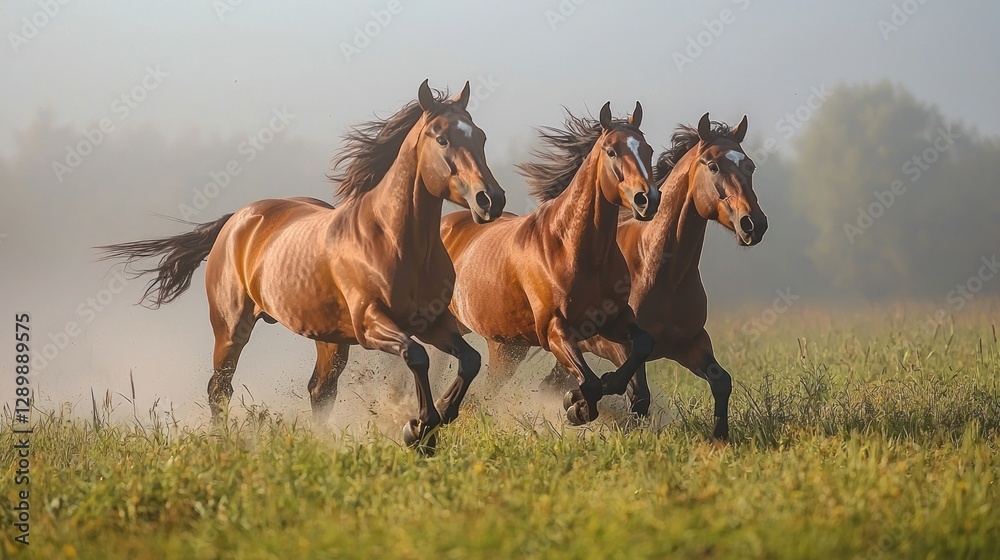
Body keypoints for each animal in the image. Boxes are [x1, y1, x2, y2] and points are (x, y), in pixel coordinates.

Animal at [97, 80, 506, 450]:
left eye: (482, 137)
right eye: (442, 139)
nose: (491, 200)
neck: (396, 242)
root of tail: (237, 219)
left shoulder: (434, 322)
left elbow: (469, 360)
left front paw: (432, 425)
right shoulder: (371, 324)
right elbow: (417, 356)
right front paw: (417, 427)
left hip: (328, 338)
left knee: (319, 390)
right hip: (231, 329)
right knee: (220, 388)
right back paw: (222, 441)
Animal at [439, 101, 660, 426]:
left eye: (648, 150)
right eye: (611, 151)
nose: (648, 199)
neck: (573, 250)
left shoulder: (614, 320)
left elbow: (643, 347)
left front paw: (596, 390)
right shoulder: (555, 331)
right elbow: (590, 383)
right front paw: (577, 407)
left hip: (506, 348)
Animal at [502, 113, 768, 441]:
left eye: (750, 166)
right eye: (714, 165)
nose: (754, 224)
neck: (663, 274)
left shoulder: (691, 343)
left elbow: (722, 381)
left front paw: (719, 438)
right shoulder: (617, 346)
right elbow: (635, 394)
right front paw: (581, 404)